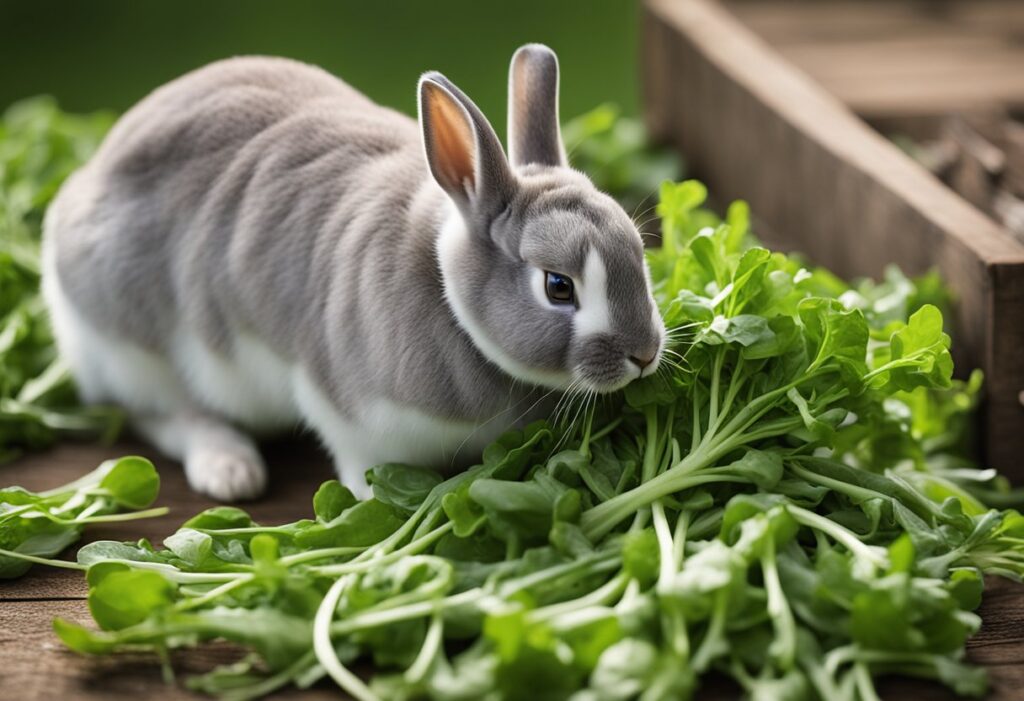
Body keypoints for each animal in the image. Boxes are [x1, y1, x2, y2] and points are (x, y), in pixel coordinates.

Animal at [41, 43, 663, 499]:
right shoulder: (350, 418)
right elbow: (358, 466)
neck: (449, 296)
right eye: (559, 286)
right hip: (137, 351)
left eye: (638, 250)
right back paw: (231, 470)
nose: (645, 354)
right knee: (159, 416)